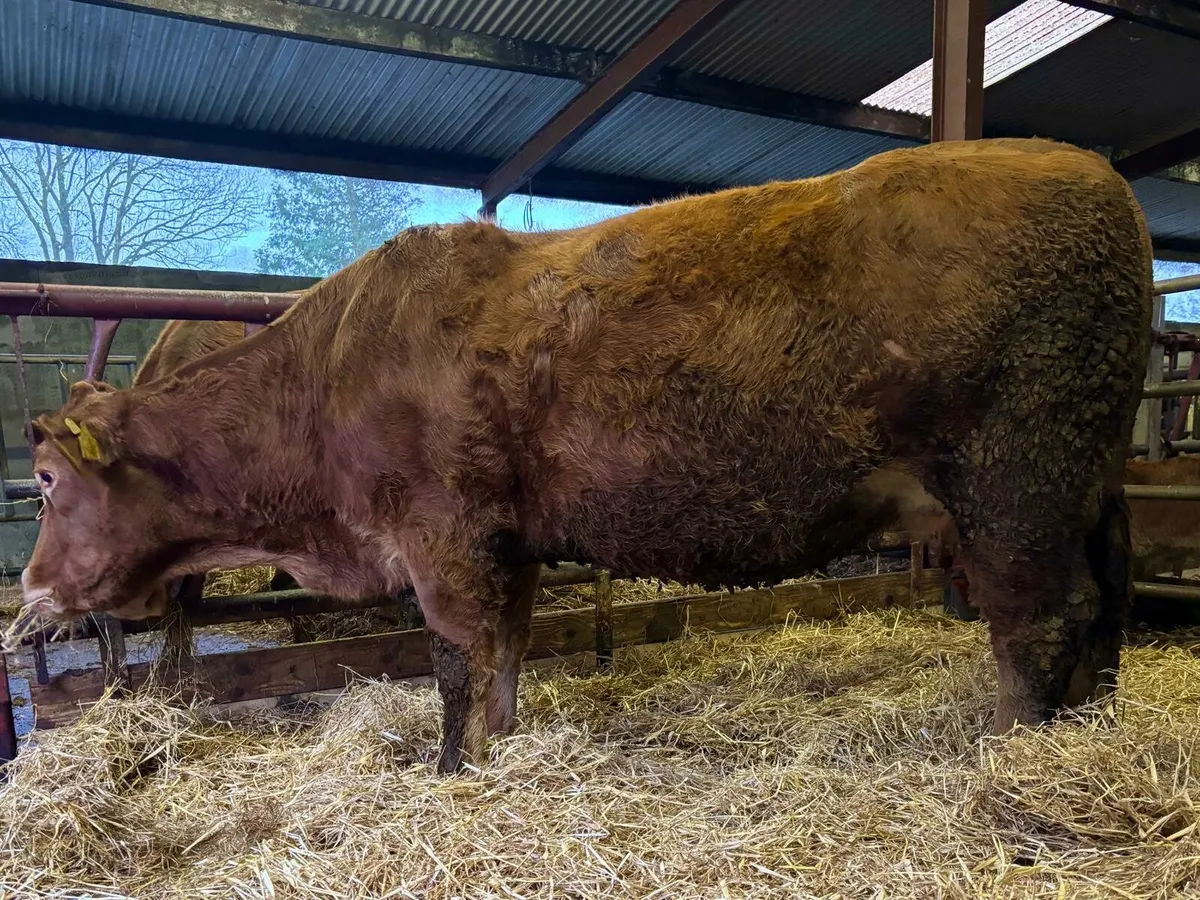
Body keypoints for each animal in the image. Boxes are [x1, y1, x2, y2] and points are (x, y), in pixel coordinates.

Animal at [19, 138, 1152, 773]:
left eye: (43, 480)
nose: (28, 587)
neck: (333, 371)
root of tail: (1088, 171)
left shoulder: (444, 538)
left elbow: (455, 663)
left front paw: (452, 769)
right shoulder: (507, 542)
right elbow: (507, 656)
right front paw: (503, 748)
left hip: (1013, 483)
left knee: (1037, 621)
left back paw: (1010, 751)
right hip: (1086, 483)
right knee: (1105, 603)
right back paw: (1091, 722)